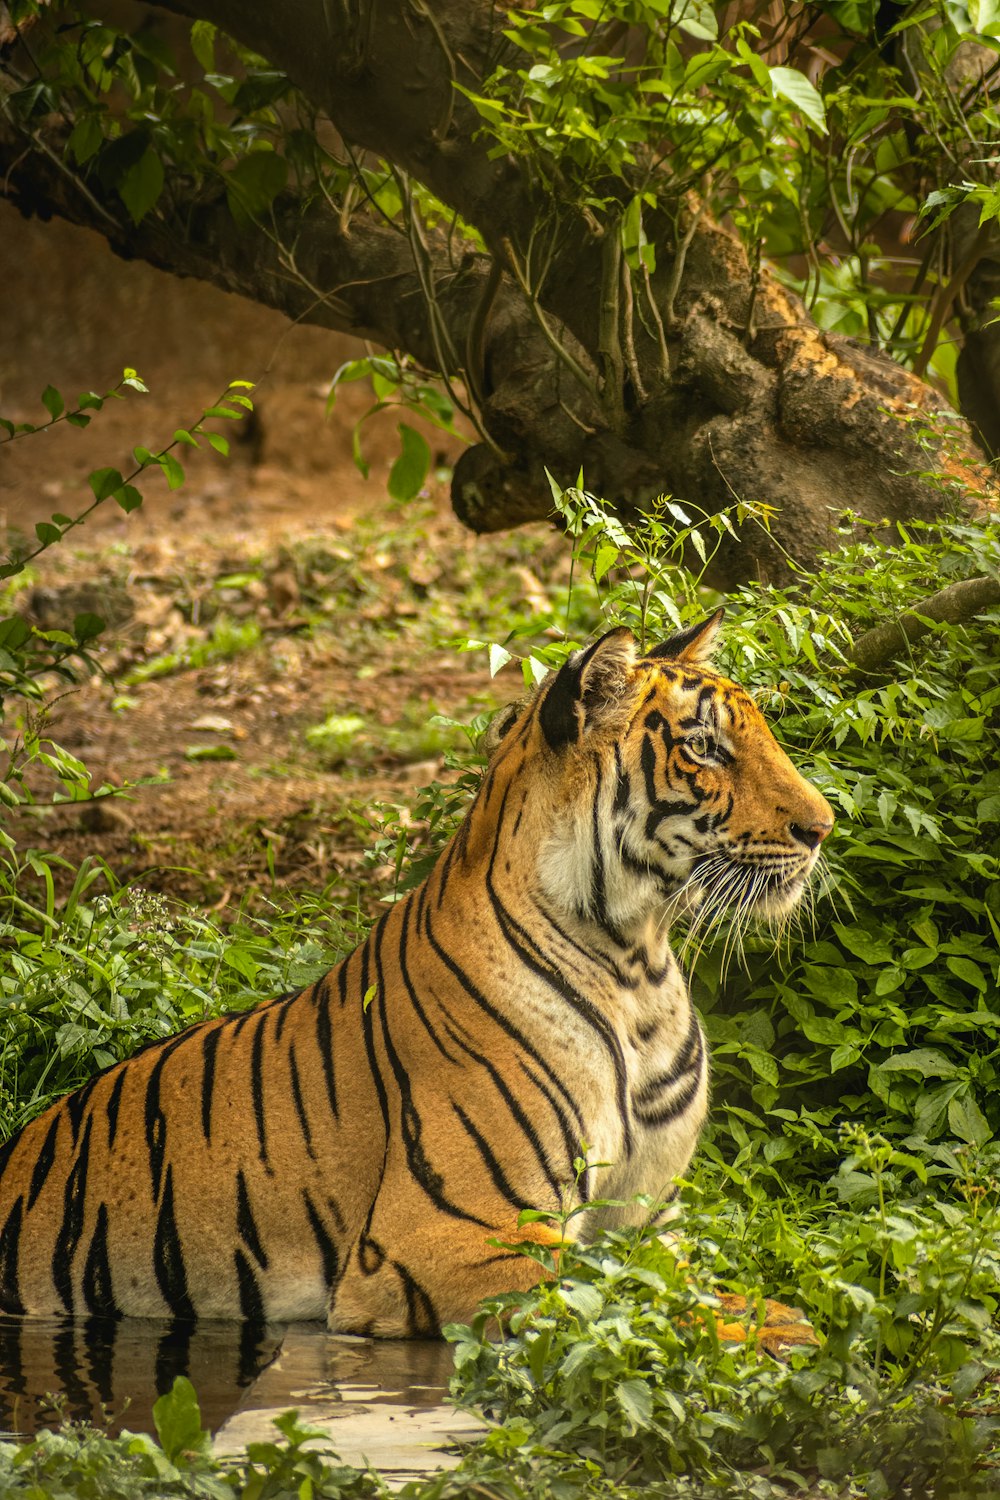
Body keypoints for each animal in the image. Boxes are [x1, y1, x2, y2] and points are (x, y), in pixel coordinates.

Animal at [0, 615, 833, 1344]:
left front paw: (779, 1314)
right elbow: (625, 1296)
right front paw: (776, 1337)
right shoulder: (454, 1231)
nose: (823, 827)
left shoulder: (649, 1221)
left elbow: (691, 1282)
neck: (635, 965)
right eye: (705, 747)